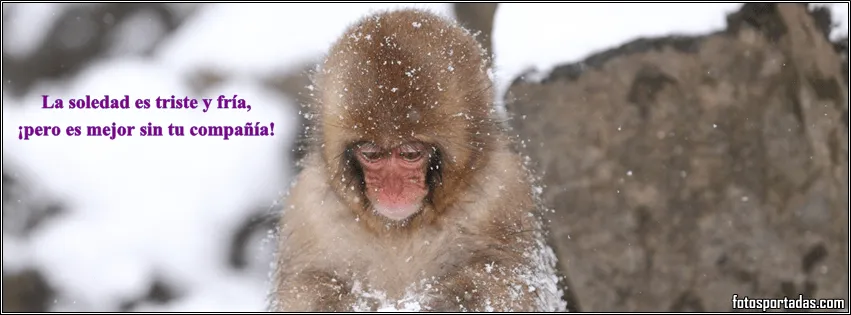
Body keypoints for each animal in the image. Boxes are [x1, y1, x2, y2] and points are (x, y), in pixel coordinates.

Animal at [272, 8, 564, 314]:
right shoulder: (308, 209)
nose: (392, 190)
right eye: (371, 154)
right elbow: (304, 287)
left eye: (410, 154)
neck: (400, 229)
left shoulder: (503, 192)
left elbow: (510, 284)